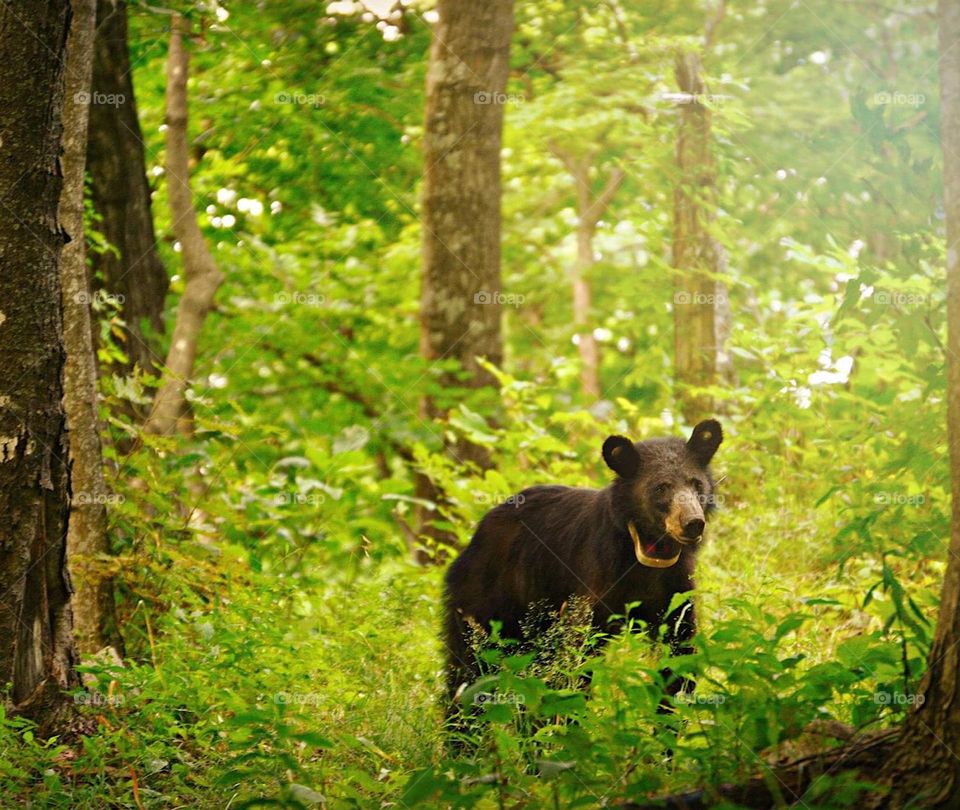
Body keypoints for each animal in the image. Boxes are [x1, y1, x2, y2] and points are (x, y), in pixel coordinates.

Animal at [442, 419, 723, 713]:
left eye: (696, 484)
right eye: (661, 487)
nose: (693, 523)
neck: (649, 554)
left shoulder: (676, 586)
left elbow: (679, 652)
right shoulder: (596, 578)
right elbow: (577, 652)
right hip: (485, 594)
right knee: (469, 661)